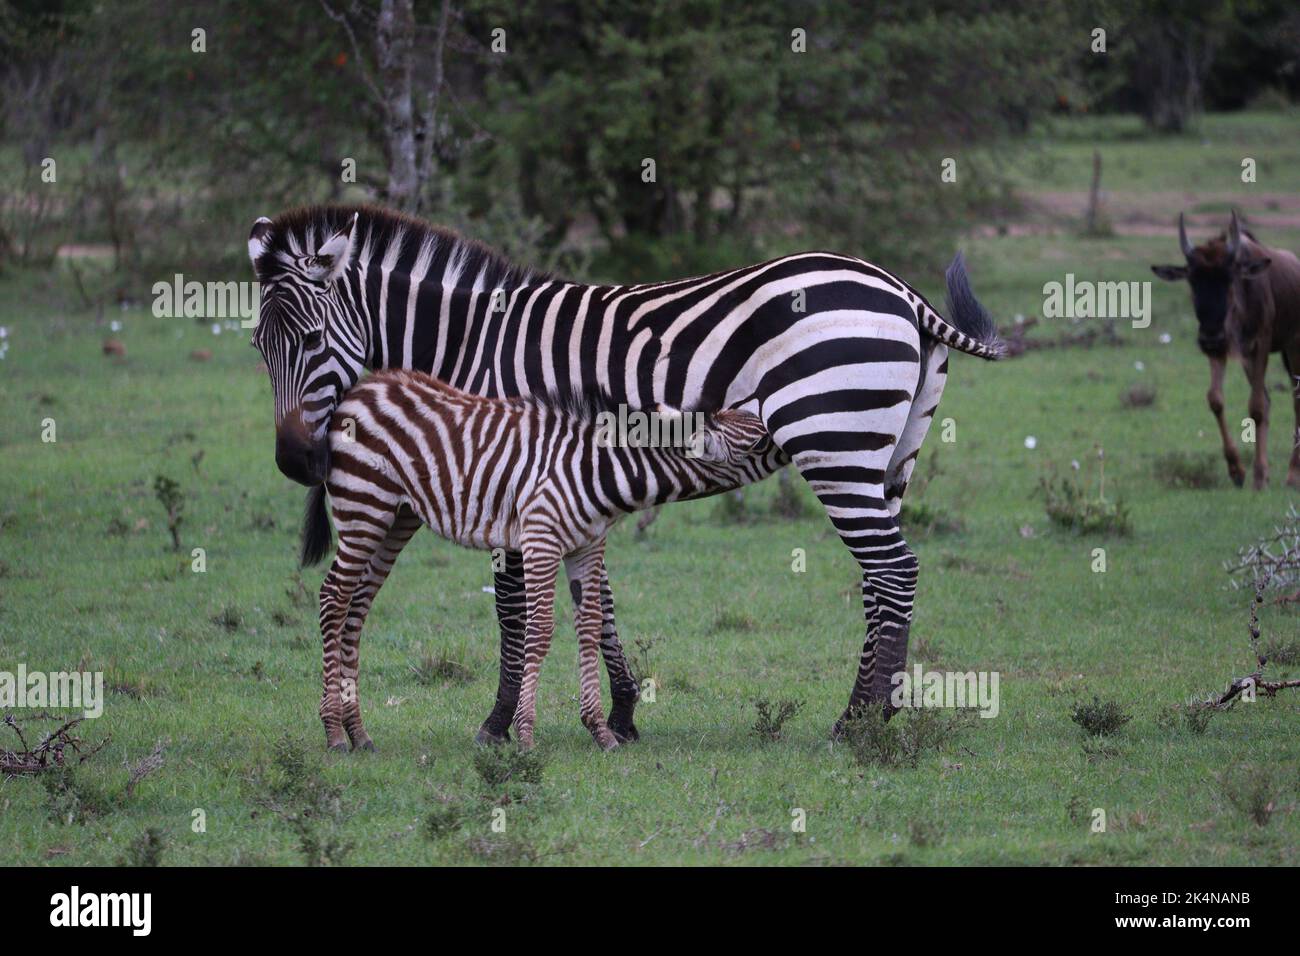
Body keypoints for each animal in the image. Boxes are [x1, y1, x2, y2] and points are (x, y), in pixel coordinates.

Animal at [299, 368, 784, 751]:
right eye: (762, 440)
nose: (791, 439)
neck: (597, 471)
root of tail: (359, 389)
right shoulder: (540, 540)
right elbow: (539, 630)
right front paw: (526, 734)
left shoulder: (587, 546)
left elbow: (589, 626)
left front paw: (599, 731)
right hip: (364, 505)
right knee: (332, 598)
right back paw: (334, 733)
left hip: (395, 517)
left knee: (357, 607)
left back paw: (359, 733)